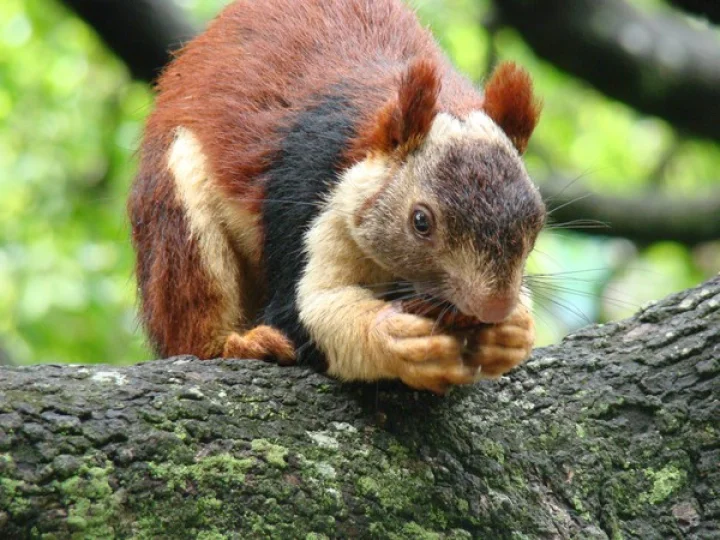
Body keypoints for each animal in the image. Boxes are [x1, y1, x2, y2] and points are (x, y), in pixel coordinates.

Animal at [129, 0, 545, 394]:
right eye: (421, 221)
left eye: (537, 220)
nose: (494, 306)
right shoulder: (306, 193)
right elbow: (303, 309)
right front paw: (395, 339)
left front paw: (514, 330)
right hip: (178, 219)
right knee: (193, 327)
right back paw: (238, 344)